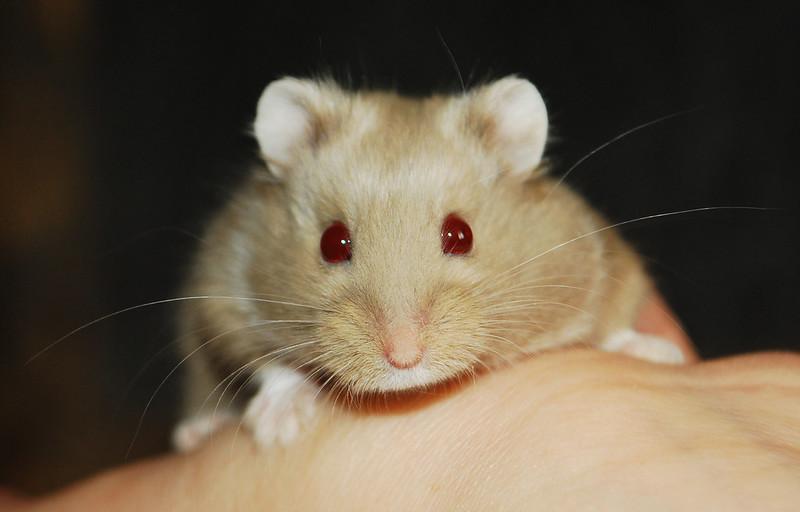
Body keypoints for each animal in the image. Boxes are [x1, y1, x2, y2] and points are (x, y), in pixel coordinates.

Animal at [173, 76, 684, 451]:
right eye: (332, 242)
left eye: (461, 235)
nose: (404, 358)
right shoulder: (221, 287)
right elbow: (264, 359)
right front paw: (279, 430)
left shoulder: (598, 259)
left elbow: (613, 320)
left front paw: (660, 353)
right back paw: (198, 430)